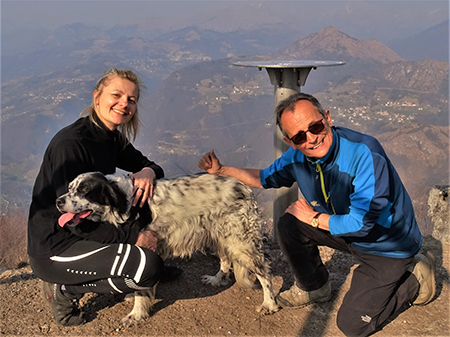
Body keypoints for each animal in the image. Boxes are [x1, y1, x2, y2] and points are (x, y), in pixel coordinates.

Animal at [55, 172, 278, 324]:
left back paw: (270, 304)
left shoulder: (145, 252)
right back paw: (216, 279)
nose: (58, 201)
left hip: (240, 242)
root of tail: (244, 188)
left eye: (84, 190)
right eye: (70, 187)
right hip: (220, 237)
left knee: (264, 271)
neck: (125, 204)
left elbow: (141, 293)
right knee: (226, 260)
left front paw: (136, 315)